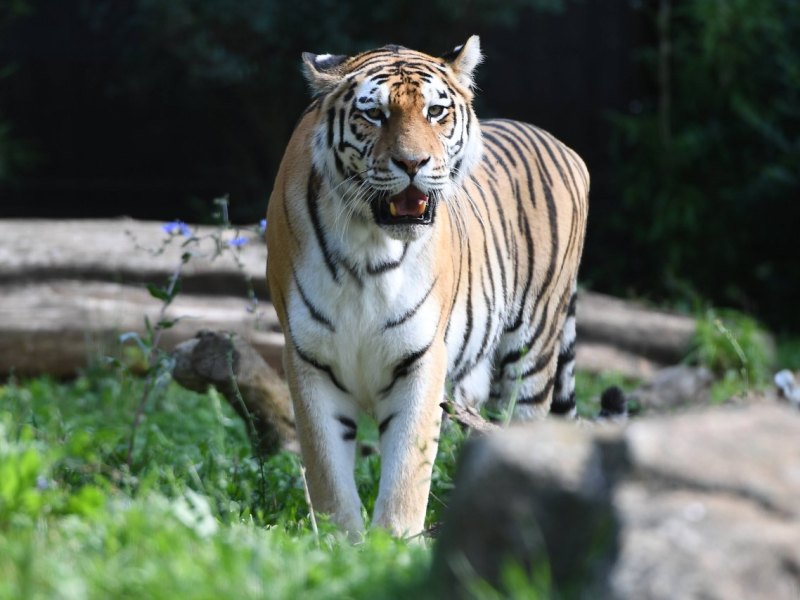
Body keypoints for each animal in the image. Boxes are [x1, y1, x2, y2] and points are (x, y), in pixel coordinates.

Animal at [266, 36, 589, 539]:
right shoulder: (308, 357)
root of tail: (556, 141)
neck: (369, 247)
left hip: (533, 350)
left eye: (436, 112)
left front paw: (393, 542)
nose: (413, 163)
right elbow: (326, 470)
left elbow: (406, 469)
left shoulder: (421, 357)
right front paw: (342, 541)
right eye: (374, 114)